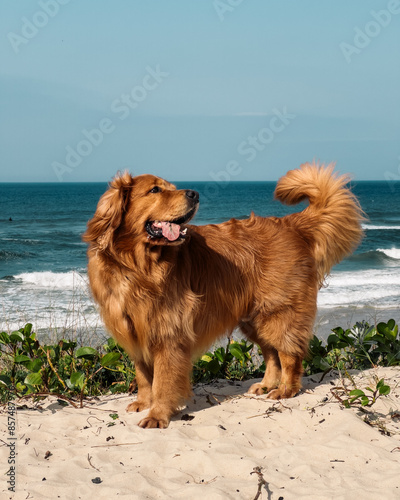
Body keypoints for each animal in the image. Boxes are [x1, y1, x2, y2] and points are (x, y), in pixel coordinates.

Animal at [83, 162, 364, 428]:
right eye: (155, 190)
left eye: (170, 187)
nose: (194, 193)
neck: (135, 266)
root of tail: (290, 224)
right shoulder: (134, 331)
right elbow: (143, 376)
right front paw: (143, 402)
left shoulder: (168, 332)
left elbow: (163, 380)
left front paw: (158, 414)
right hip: (254, 319)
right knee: (272, 353)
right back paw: (267, 384)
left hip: (277, 314)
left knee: (289, 354)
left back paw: (285, 389)